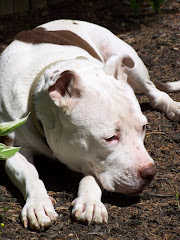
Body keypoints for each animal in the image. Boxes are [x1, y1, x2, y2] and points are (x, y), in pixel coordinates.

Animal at [0, 20, 180, 231]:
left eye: (143, 128)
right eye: (110, 138)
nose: (150, 172)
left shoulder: (91, 159)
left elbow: (92, 175)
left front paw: (90, 202)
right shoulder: (12, 149)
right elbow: (30, 175)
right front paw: (38, 204)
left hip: (130, 64)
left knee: (154, 92)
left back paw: (173, 106)